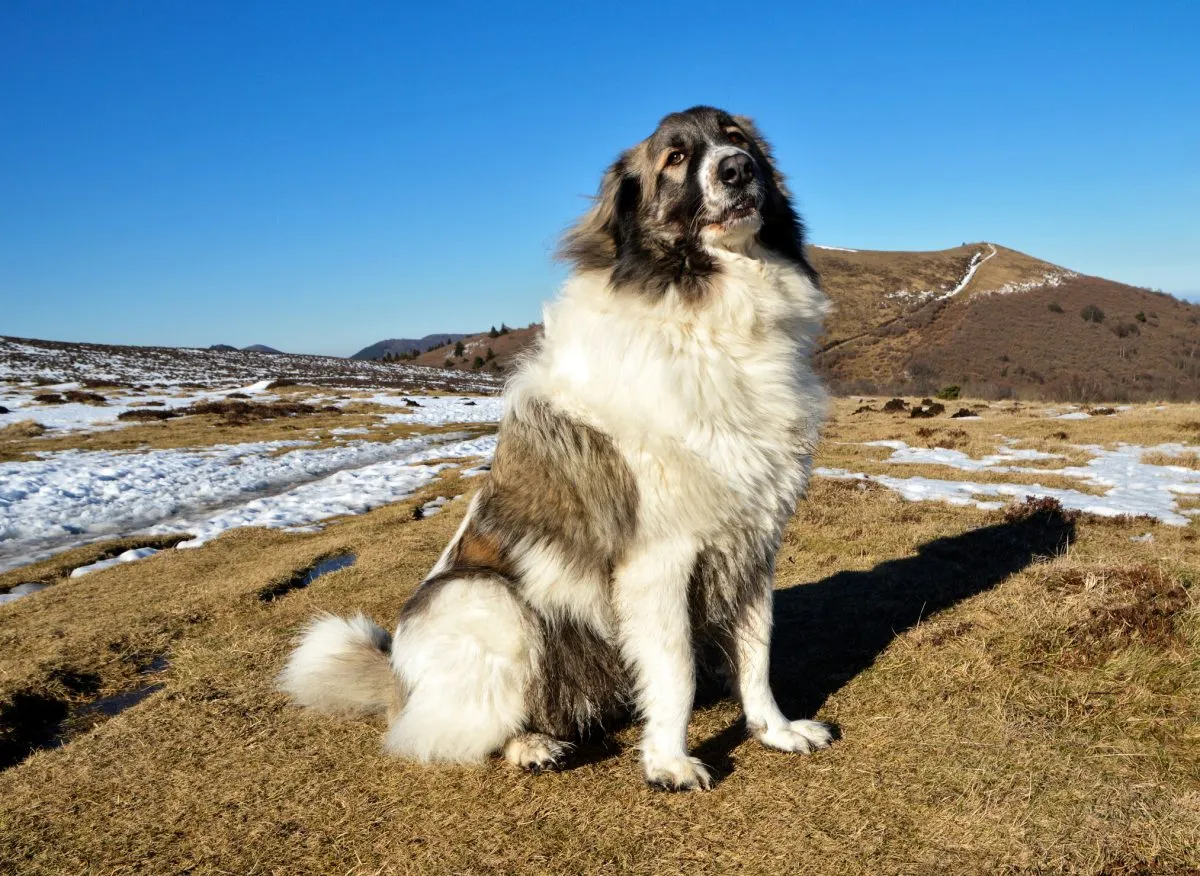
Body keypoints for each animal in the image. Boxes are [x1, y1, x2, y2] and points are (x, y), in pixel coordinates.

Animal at [277, 105, 830, 787]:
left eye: (736, 138)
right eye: (675, 158)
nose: (738, 169)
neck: (706, 314)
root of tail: (398, 680)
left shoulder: (752, 543)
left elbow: (757, 654)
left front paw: (774, 730)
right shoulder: (660, 557)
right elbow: (675, 670)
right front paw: (669, 761)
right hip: (486, 600)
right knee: (445, 731)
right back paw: (529, 745)